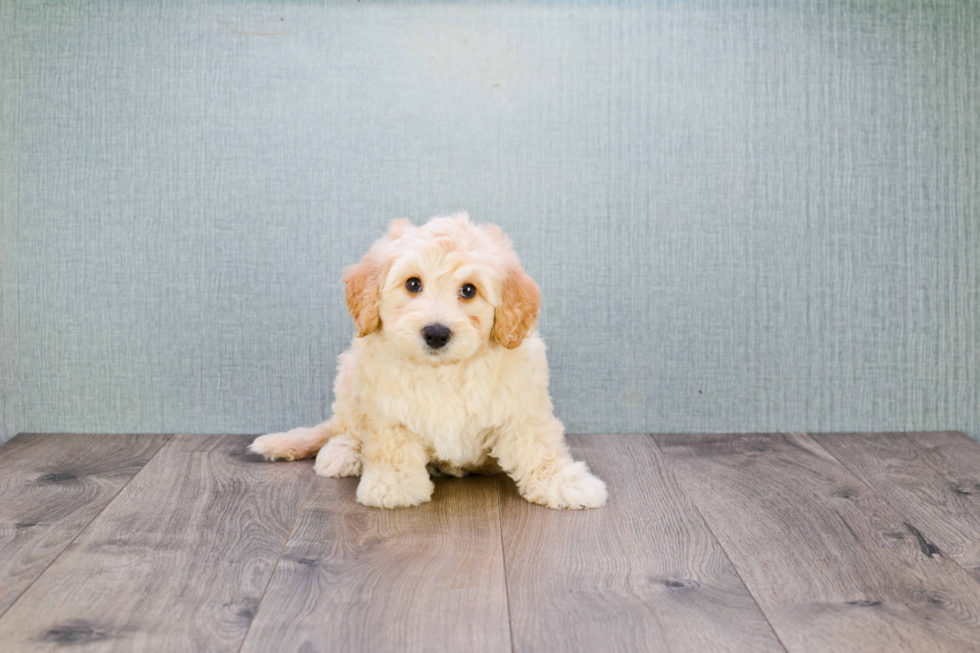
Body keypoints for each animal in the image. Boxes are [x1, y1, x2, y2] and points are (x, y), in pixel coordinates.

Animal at [249, 214, 608, 510]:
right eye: (412, 284)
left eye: (469, 290)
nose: (436, 333)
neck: (445, 369)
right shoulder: (386, 407)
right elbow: (391, 445)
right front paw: (393, 486)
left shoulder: (521, 404)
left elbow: (539, 446)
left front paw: (563, 483)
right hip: (349, 375)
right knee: (343, 426)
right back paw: (342, 453)